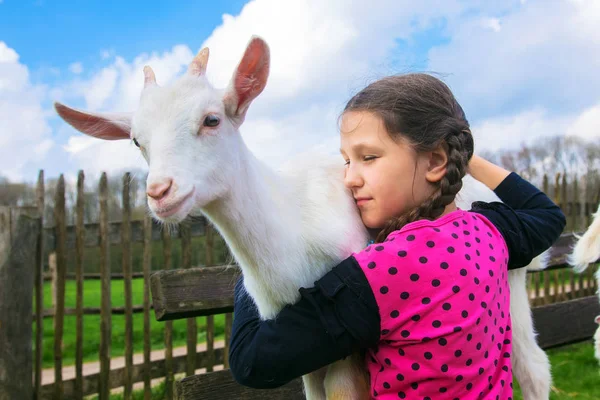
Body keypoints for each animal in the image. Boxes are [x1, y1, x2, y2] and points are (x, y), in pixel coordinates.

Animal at [57, 37, 552, 400]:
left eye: (212, 119)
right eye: (137, 140)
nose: (161, 192)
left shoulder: (347, 341)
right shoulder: (305, 357)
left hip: (514, 285)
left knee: (533, 369)